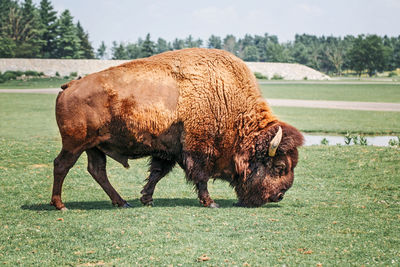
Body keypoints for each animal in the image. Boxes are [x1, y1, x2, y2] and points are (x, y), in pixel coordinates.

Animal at [52, 48, 304, 211]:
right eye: (280, 167)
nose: (279, 195)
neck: (225, 98)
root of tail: (70, 86)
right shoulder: (199, 149)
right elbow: (201, 176)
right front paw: (210, 202)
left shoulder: (168, 152)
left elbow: (157, 173)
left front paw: (146, 199)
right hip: (74, 145)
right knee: (62, 165)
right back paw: (60, 205)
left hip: (94, 147)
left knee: (97, 171)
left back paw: (122, 202)